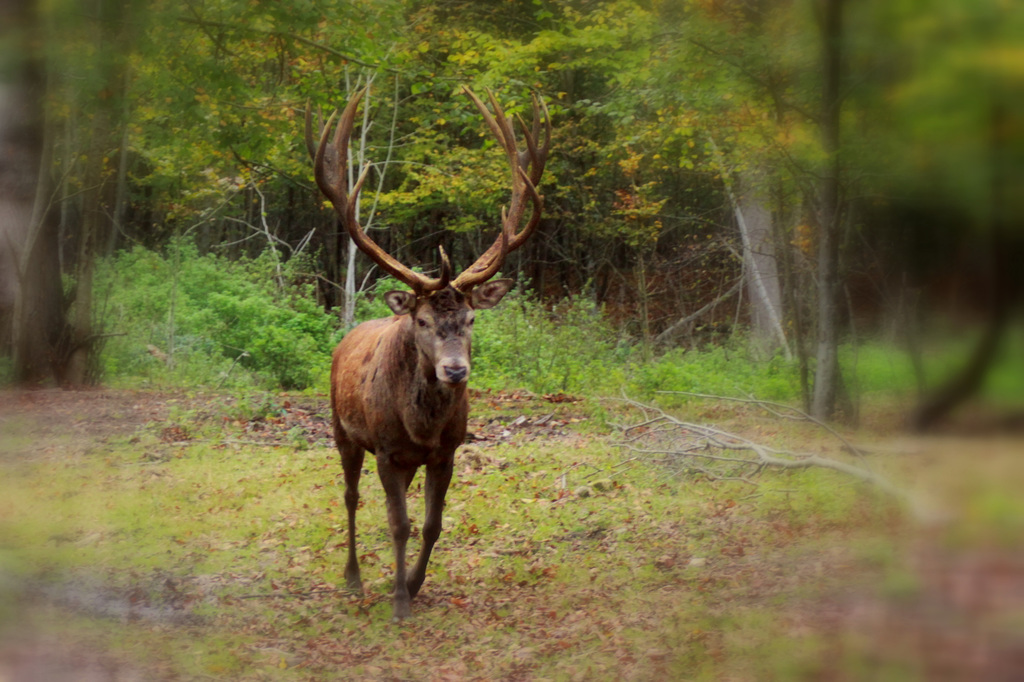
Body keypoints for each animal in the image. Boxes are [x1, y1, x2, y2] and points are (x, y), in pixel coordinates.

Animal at [305, 87, 552, 618]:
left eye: (472, 319)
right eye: (421, 321)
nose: (455, 370)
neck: (420, 427)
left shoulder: (447, 451)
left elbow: (432, 524)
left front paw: (415, 584)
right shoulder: (386, 451)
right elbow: (398, 524)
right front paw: (399, 600)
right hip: (341, 429)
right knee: (350, 496)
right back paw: (353, 577)